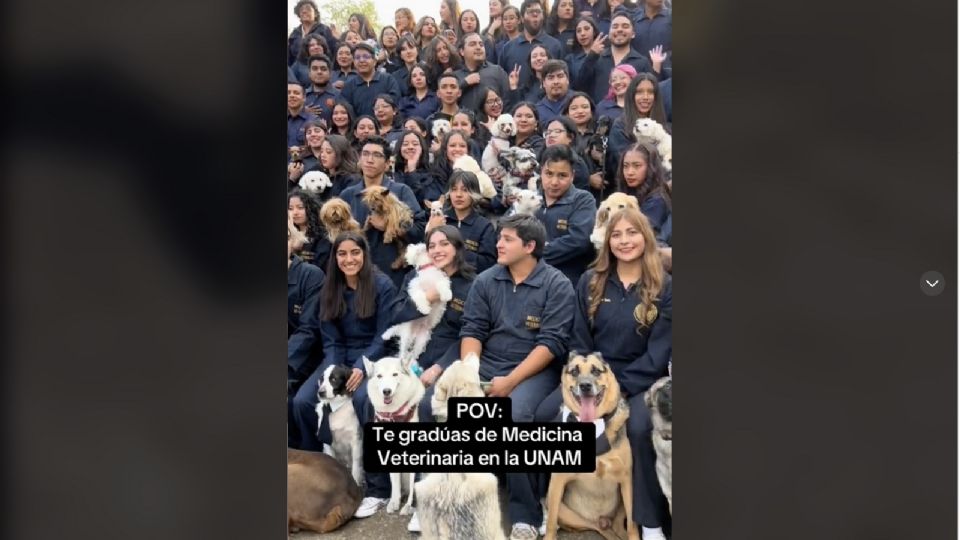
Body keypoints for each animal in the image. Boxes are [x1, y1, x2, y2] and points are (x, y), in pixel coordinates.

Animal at [364, 354, 424, 516]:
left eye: (395, 374)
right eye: (379, 376)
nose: (386, 391)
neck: (394, 415)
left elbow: (413, 482)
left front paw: (408, 506)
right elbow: (394, 481)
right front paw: (394, 501)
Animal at [544, 352, 640, 540]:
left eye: (596, 371)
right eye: (574, 371)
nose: (585, 386)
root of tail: (602, 519)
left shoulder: (626, 480)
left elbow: (633, 523)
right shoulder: (557, 481)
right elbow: (551, 523)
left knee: (618, 526)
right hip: (565, 510)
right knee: (599, 528)